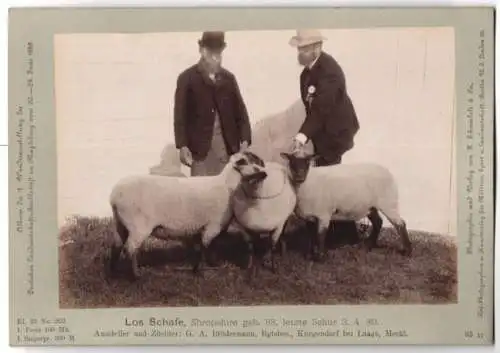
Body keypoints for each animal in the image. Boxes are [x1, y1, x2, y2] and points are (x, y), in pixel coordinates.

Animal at [108, 150, 266, 280]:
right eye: (254, 165)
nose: (265, 174)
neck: (227, 186)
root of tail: (115, 195)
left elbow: (206, 245)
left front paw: (211, 264)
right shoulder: (213, 224)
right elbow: (205, 246)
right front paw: (201, 271)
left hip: (119, 222)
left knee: (116, 246)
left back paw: (113, 274)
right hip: (138, 225)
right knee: (130, 249)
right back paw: (136, 276)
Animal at [230, 148, 296, 276]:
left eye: (255, 160)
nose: (260, 173)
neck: (257, 201)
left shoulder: (277, 227)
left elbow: (273, 246)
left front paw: (274, 268)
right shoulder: (244, 228)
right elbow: (250, 248)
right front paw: (250, 267)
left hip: (284, 221)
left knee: (280, 238)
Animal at [280, 148, 412, 262]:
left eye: (307, 162)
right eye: (292, 162)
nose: (300, 176)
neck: (309, 182)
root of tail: (387, 171)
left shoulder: (324, 214)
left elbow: (320, 236)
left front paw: (320, 258)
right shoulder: (310, 217)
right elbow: (312, 236)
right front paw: (309, 256)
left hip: (388, 203)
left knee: (401, 224)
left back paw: (407, 251)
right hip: (370, 206)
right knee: (378, 222)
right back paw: (368, 246)